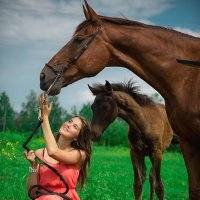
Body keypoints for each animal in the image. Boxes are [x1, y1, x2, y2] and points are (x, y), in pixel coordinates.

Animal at [39, 1, 200, 198]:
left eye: (78, 39)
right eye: (92, 107)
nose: (43, 76)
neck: (185, 76)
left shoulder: (158, 152)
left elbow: (161, 186)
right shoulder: (141, 151)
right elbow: (139, 184)